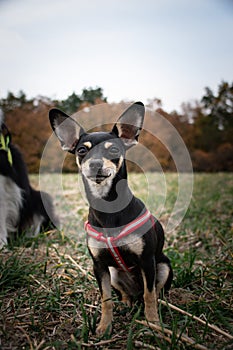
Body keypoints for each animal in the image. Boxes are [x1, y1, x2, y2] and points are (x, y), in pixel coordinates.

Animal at [49, 101, 173, 334]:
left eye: (114, 149)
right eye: (82, 150)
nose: (95, 164)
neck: (107, 207)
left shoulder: (147, 261)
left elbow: (149, 295)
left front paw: (153, 323)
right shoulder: (99, 266)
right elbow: (106, 299)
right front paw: (104, 326)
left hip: (163, 267)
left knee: (153, 292)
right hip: (115, 274)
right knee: (126, 294)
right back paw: (126, 302)